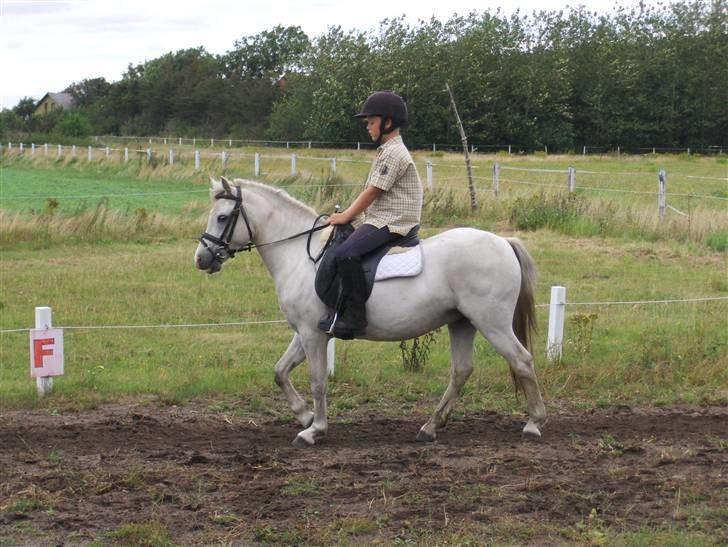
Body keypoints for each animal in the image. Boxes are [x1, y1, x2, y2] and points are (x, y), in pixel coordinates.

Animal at [194, 177, 546, 447]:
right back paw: (430, 427)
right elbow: (280, 371)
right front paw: (305, 416)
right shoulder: (306, 332)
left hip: (492, 323)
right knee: (461, 371)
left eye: (222, 218)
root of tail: (503, 241)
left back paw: (534, 423)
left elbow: (317, 380)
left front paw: (314, 430)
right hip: (462, 323)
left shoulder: (311, 334)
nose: (201, 258)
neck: (300, 255)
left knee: (522, 361)